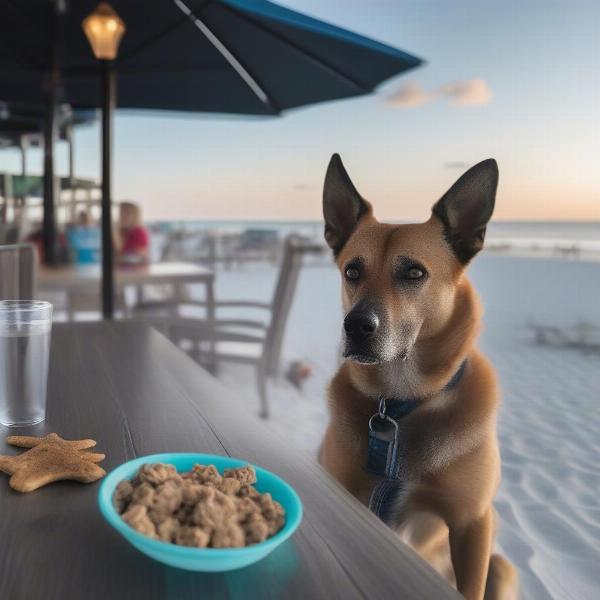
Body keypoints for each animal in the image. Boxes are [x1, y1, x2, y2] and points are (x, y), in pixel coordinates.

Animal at [322, 156, 516, 600]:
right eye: (352, 271)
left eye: (413, 272)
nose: (356, 327)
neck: (400, 402)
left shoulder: (472, 524)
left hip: (501, 566)